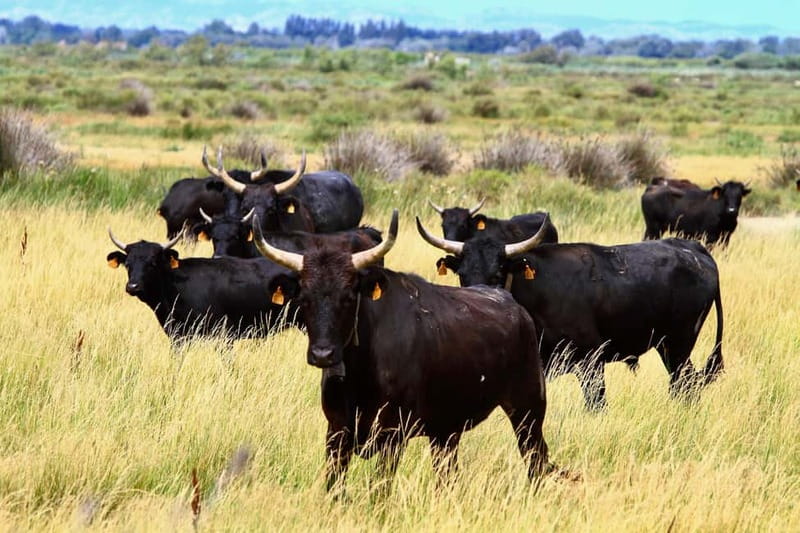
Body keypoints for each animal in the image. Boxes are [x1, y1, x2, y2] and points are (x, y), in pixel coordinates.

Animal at [253, 210, 551, 494]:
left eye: (348, 297)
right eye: (304, 299)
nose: (323, 354)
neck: (360, 374)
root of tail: (514, 307)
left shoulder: (392, 434)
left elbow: (380, 490)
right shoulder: (336, 431)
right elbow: (334, 487)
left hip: (528, 411)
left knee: (537, 462)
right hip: (446, 430)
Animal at [416, 217, 724, 410]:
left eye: (498, 273)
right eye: (463, 275)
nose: (480, 301)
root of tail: (694, 249)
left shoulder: (591, 360)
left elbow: (596, 404)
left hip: (677, 345)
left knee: (685, 384)